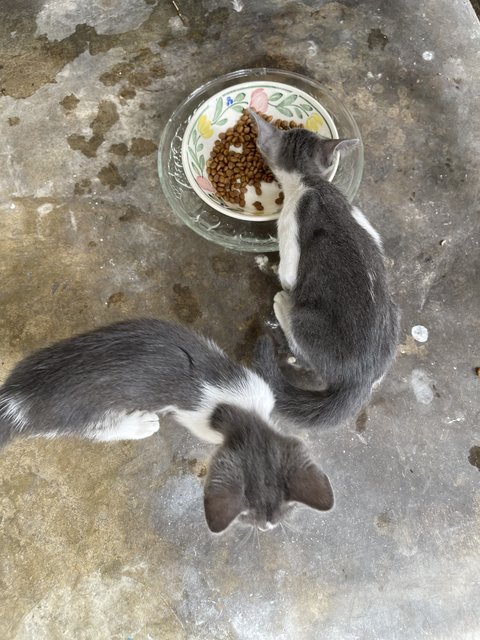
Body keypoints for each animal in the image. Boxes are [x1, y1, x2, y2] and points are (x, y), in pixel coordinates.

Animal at [0, 320, 334, 536]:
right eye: (249, 518)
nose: (268, 527)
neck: (241, 412)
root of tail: (19, 399)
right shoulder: (201, 421)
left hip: (48, 355)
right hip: (88, 414)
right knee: (99, 430)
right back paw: (139, 423)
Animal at [249, 110, 400, 430]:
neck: (311, 184)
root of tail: (359, 378)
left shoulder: (291, 223)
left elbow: (287, 272)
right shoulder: (360, 217)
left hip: (306, 319)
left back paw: (282, 305)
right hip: (394, 313)